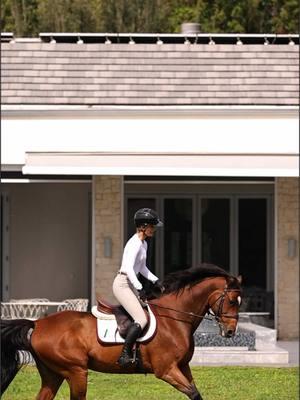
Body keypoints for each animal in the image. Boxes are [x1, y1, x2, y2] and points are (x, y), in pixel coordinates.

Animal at [1, 264, 243, 398]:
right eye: (232, 300)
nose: (230, 332)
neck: (175, 318)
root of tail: (38, 324)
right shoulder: (166, 370)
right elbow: (193, 393)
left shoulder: (182, 367)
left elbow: (195, 392)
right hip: (76, 372)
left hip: (54, 374)